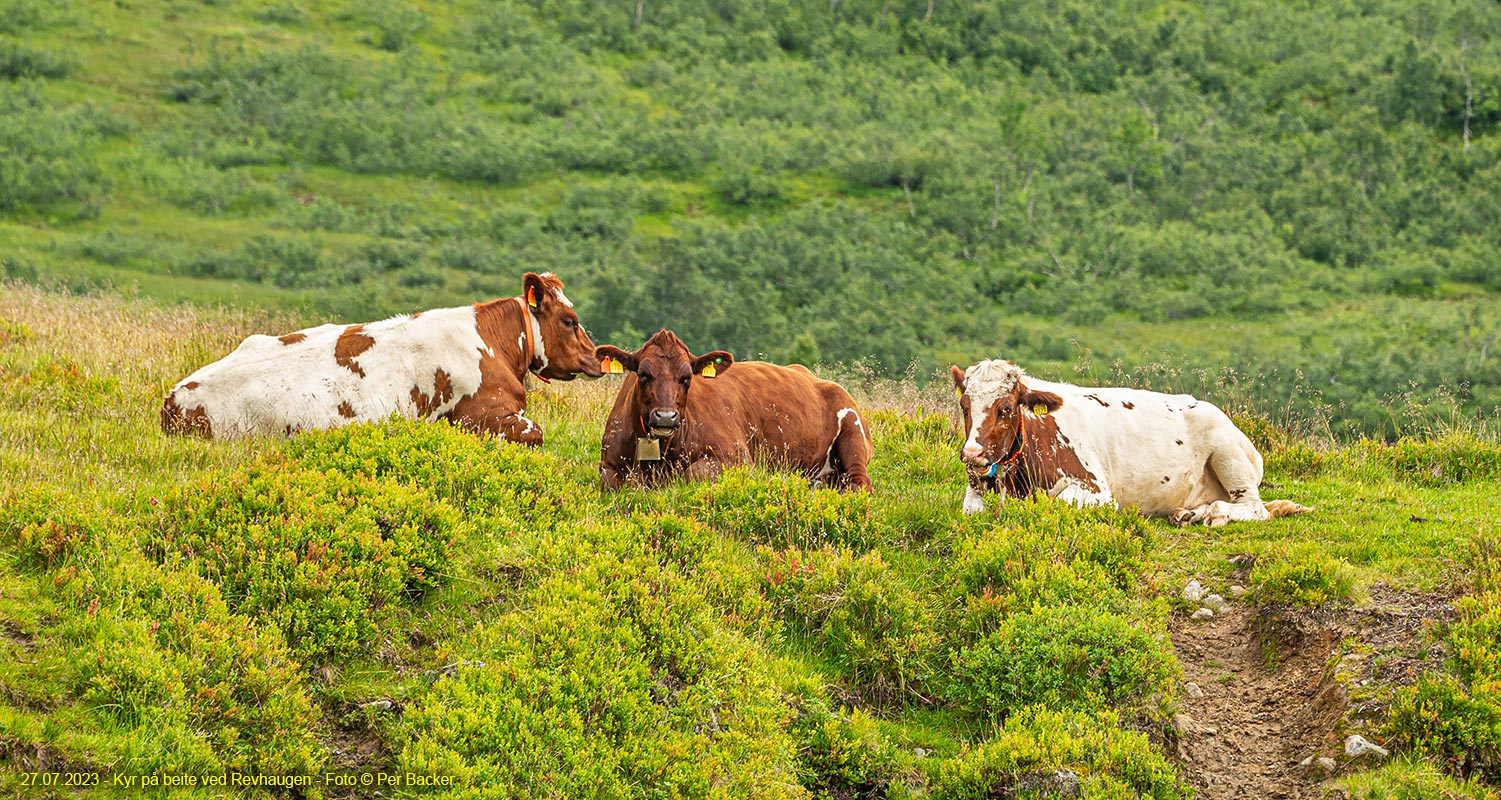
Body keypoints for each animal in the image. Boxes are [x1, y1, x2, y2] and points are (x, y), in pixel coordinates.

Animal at [161, 271, 600, 441]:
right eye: (569, 320)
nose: (596, 357)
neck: (492, 344)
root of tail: (173, 399)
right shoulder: (486, 416)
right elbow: (537, 433)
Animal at [594, 327, 876, 489]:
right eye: (643, 374)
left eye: (687, 377)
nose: (665, 416)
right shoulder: (608, 465)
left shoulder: (737, 459)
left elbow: (693, 473)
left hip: (853, 433)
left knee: (860, 482)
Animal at [954, 360, 1308, 525]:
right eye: (964, 405)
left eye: (1005, 408)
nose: (972, 453)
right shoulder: (975, 490)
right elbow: (972, 510)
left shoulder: (1096, 490)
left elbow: (1054, 502)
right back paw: (1188, 514)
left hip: (1227, 451)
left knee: (1254, 508)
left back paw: (1212, 513)